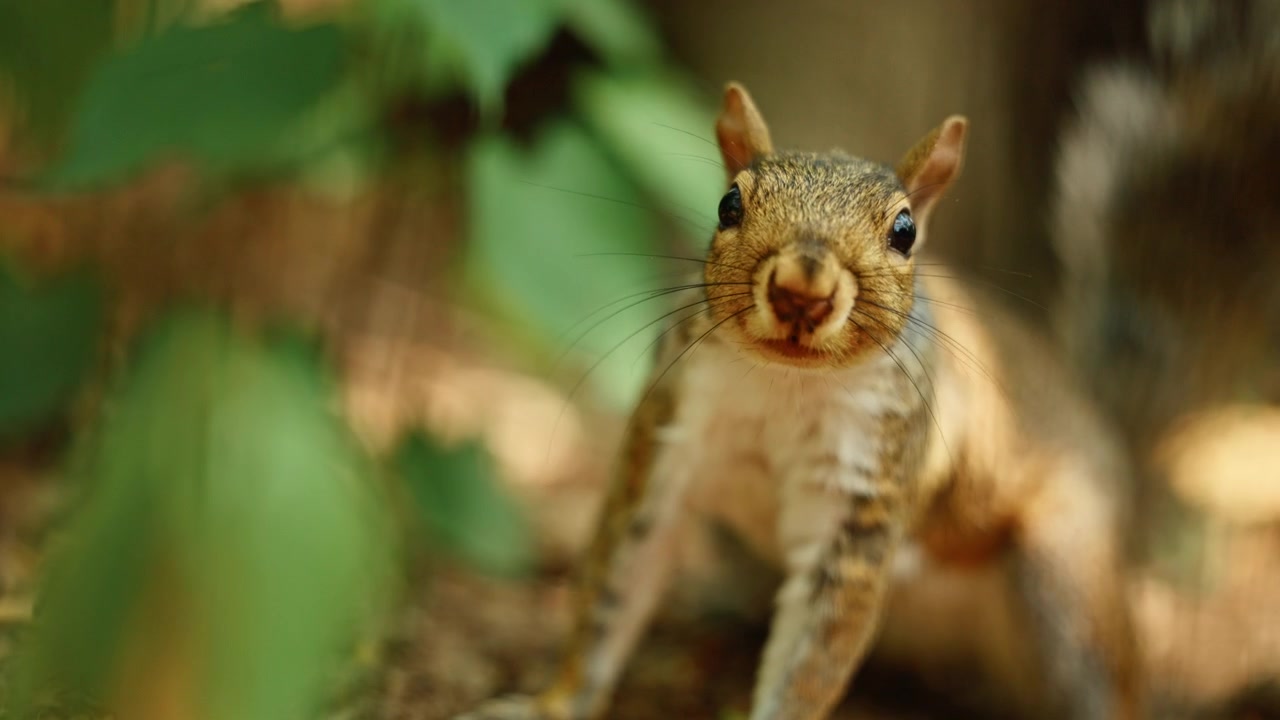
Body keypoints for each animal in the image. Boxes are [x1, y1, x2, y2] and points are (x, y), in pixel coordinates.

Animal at [455, 84, 1141, 720]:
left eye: (905, 231)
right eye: (728, 203)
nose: (801, 290)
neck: (786, 385)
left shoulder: (864, 498)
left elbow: (815, 652)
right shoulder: (665, 443)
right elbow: (613, 590)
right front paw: (549, 705)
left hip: (1060, 578)